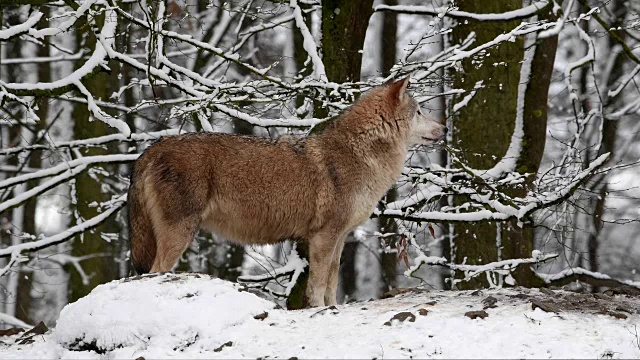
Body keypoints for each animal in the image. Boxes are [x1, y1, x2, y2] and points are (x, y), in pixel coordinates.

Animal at [127, 76, 448, 306]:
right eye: (420, 111)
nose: (445, 129)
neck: (361, 152)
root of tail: (152, 149)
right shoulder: (323, 237)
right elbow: (317, 286)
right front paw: (319, 310)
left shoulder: (339, 238)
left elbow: (331, 284)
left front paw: (333, 308)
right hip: (179, 234)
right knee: (154, 272)